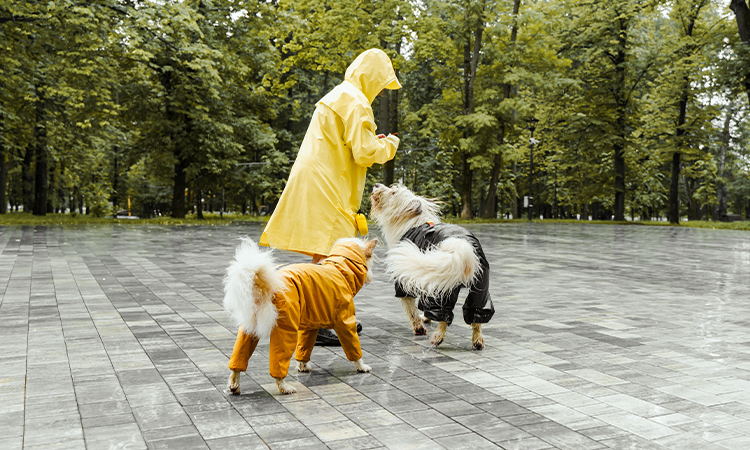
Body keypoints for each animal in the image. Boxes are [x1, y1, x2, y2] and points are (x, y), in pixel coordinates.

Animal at [222, 236, 376, 394]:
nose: (371, 277)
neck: (339, 268)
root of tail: (265, 285)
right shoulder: (345, 321)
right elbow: (353, 346)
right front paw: (361, 366)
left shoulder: (311, 324)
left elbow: (304, 348)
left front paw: (303, 366)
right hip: (286, 328)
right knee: (279, 362)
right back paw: (284, 386)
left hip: (249, 328)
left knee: (238, 357)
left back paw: (234, 384)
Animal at [368, 185, 494, 350]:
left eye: (394, 192)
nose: (376, 185)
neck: (412, 223)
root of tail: (462, 244)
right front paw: (426, 319)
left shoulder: (405, 281)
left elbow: (411, 309)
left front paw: (419, 327)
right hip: (479, 287)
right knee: (476, 314)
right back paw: (478, 340)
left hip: (442, 288)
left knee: (444, 316)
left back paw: (437, 338)